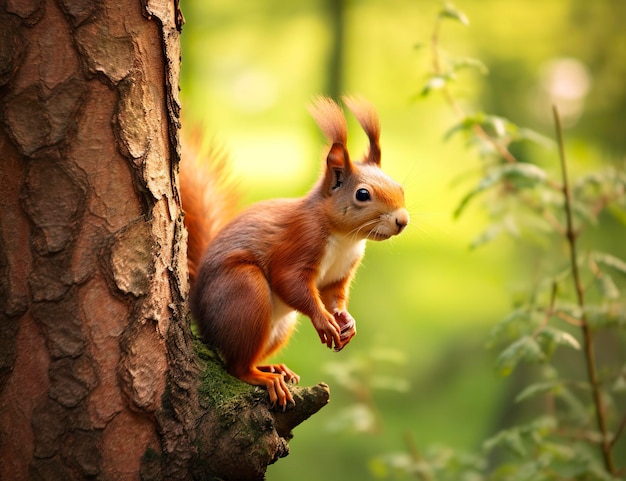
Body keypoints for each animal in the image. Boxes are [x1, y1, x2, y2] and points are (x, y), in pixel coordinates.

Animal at [179, 95, 410, 406]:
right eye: (363, 194)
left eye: (400, 187)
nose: (402, 220)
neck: (345, 238)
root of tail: (199, 311)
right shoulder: (300, 241)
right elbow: (289, 281)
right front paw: (323, 321)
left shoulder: (340, 272)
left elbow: (333, 294)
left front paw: (346, 320)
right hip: (243, 293)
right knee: (236, 367)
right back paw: (263, 377)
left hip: (280, 326)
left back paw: (272, 367)